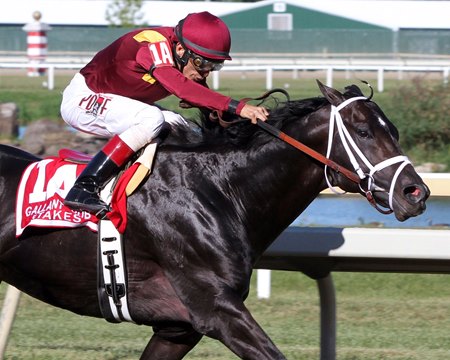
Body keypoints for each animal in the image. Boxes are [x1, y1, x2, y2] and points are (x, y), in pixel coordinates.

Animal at [0, 82, 428, 360]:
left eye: (394, 130)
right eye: (363, 131)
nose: (416, 193)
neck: (218, 190)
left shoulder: (178, 329)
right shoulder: (217, 310)